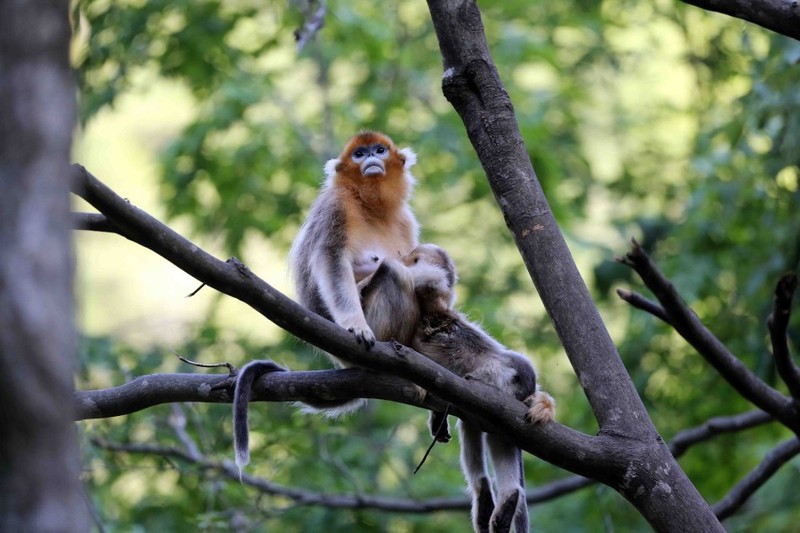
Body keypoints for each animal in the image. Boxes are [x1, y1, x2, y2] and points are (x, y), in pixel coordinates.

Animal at [400, 244, 556, 532]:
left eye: (413, 255)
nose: (404, 256)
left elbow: (428, 279)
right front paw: (437, 419)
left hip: (497, 379)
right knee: (487, 429)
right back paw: (500, 498)